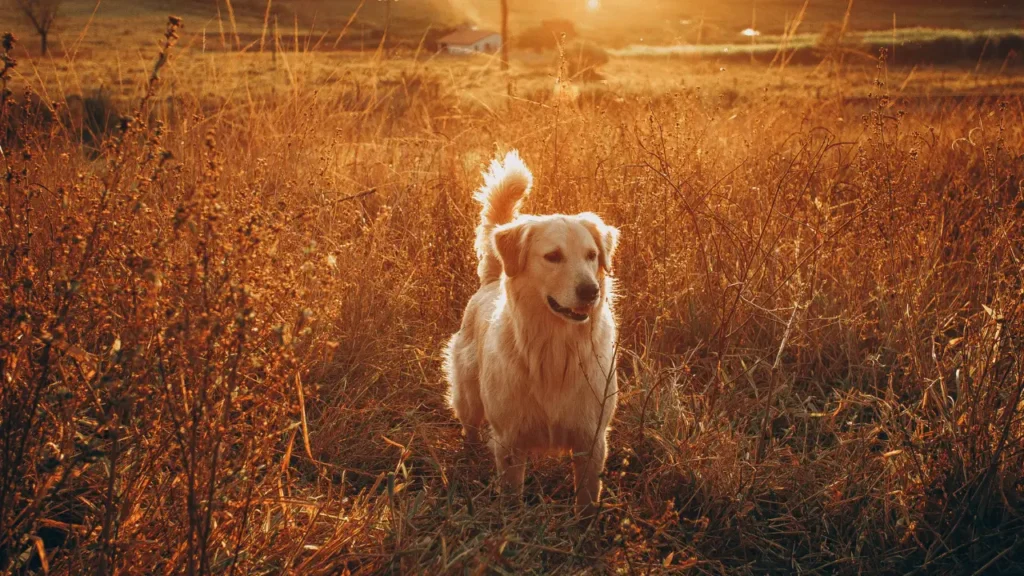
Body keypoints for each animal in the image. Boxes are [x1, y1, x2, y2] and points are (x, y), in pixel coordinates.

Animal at [444, 150, 618, 512]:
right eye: (552, 256)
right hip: (468, 398)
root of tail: (492, 279)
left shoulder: (592, 439)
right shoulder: (510, 441)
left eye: (592, 255)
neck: (556, 347)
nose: (591, 291)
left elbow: (587, 497)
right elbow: (511, 494)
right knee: (469, 429)